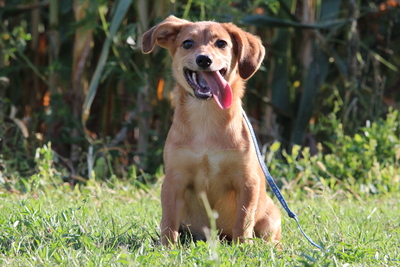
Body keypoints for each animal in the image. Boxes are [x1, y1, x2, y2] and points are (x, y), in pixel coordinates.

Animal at [141, 15, 282, 247]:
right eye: (188, 43)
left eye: (222, 43)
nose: (204, 60)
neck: (206, 116)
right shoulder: (174, 179)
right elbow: (169, 221)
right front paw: (167, 248)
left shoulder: (247, 180)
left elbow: (243, 220)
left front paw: (242, 247)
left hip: (271, 218)